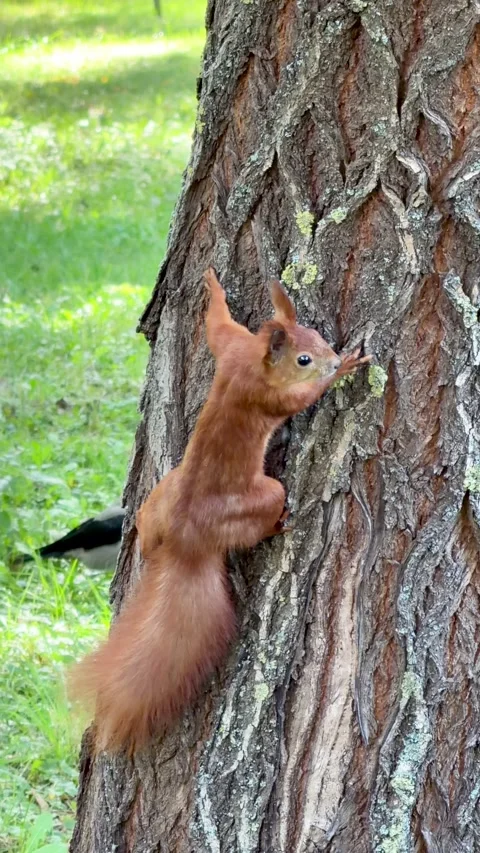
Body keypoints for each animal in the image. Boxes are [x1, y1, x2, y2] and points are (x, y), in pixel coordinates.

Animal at [71, 268, 371, 752]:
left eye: (318, 335)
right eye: (304, 359)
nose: (332, 358)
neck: (253, 362)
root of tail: (187, 540)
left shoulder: (231, 348)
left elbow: (218, 328)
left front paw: (214, 291)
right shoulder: (266, 396)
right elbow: (300, 401)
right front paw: (343, 371)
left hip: (159, 498)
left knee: (145, 526)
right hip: (262, 496)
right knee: (264, 515)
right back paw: (279, 525)